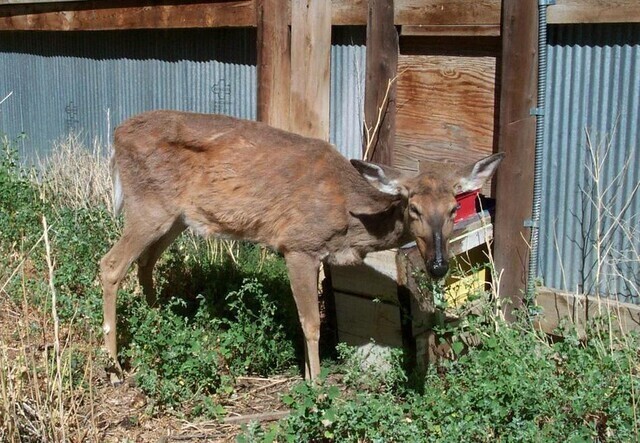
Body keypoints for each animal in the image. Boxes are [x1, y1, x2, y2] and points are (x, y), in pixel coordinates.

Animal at [100, 109, 504, 383]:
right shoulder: (298, 245)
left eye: (453, 209)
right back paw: (116, 367)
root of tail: (116, 136)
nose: (438, 265)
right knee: (110, 265)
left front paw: (311, 376)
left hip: (176, 217)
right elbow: (311, 323)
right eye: (414, 208)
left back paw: (160, 325)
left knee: (145, 263)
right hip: (148, 206)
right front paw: (317, 385)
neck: (349, 218)